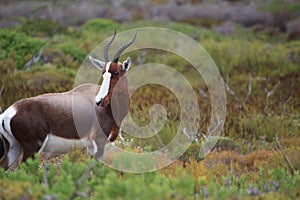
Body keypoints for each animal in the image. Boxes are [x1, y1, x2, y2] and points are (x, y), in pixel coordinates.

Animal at [0, 31, 135, 170]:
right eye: (103, 73)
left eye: (116, 72)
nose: (99, 101)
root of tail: (8, 113)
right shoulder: (99, 142)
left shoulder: (90, 146)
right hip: (32, 149)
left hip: (13, 148)